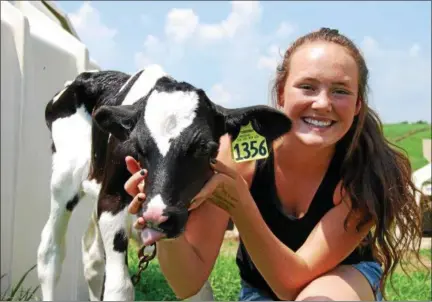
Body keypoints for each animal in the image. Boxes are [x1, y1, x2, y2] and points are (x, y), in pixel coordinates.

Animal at [37, 63, 292, 300]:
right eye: (137, 147)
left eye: (204, 148)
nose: (157, 216)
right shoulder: (110, 201)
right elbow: (119, 288)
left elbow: (198, 287)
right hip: (64, 178)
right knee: (50, 252)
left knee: (92, 259)